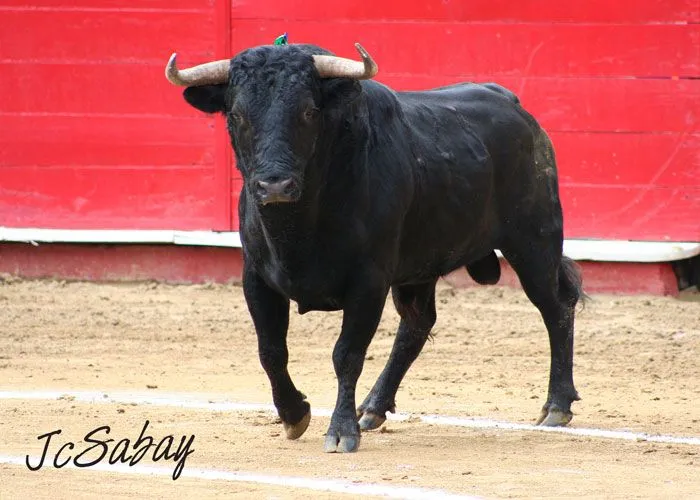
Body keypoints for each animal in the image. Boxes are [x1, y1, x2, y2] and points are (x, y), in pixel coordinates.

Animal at [167, 41, 584, 452]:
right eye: (236, 114)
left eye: (309, 110)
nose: (274, 186)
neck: (299, 225)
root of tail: (513, 105)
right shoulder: (255, 277)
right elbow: (271, 351)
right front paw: (294, 414)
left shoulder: (368, 281)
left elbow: (347, 353)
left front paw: (341, 431)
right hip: (422, 265)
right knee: (416, 326)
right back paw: (373, 407)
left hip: (534, 242)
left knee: (555, 306)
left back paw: (557, 406)